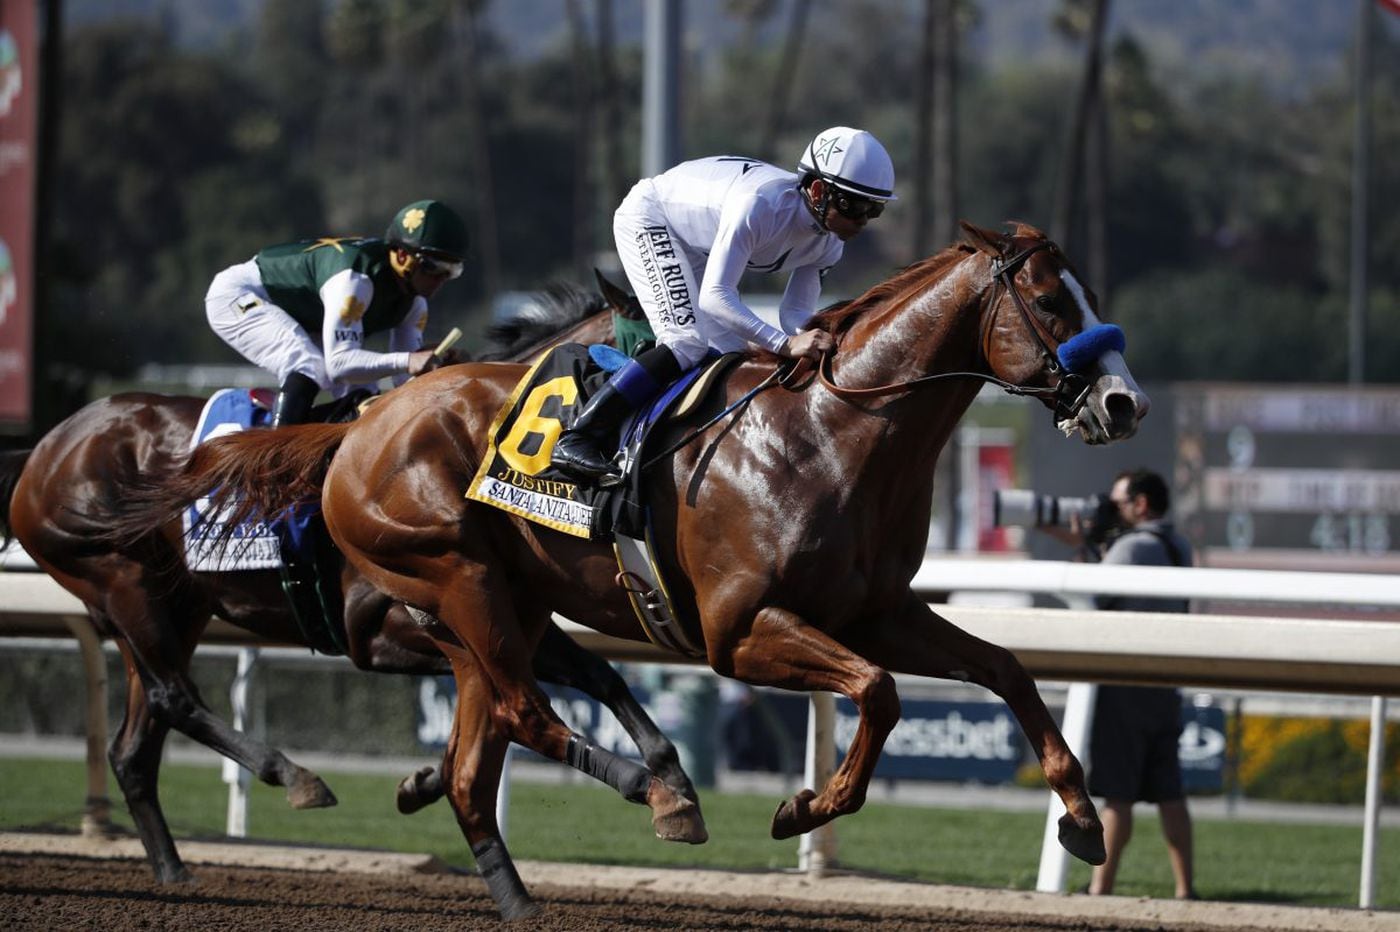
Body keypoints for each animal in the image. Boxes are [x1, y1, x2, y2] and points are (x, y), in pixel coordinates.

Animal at [0, 274, 700, 884]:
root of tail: (44, 449)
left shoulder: (496, 604)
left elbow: (597, 672)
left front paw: (670, 778)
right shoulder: (381, 629)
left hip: (172, 606)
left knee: (135, 746)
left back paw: (174, 870)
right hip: (124, 584)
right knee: (176, 698)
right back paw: (294, 776)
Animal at [103, 223, 1142, 912]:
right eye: (1055, 301)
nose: (1123, 403)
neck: (836, 428)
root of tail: (358, 427)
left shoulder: (878, 611)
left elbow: (1005, 669)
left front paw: (1082, 818)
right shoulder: (738, 633)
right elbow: (879, 695)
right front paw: (805, 805)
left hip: (487, 610)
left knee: (480, 755)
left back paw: (526, 883)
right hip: (455, 581)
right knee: (522, 714)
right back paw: (657, 791)